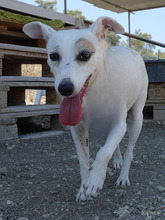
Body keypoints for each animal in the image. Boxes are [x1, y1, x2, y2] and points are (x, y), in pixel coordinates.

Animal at [23, 17, 148, 203]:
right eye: (53, 56)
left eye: (85, 55)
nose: (65, 88)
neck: (95, 90)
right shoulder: (78, 129)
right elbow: (83, 160)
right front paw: (84, 188)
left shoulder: (119, 124)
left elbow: (103, 152)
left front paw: (95, 179)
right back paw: (117, 159)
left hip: (136, 118)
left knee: (129, 151)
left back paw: (123, 176)